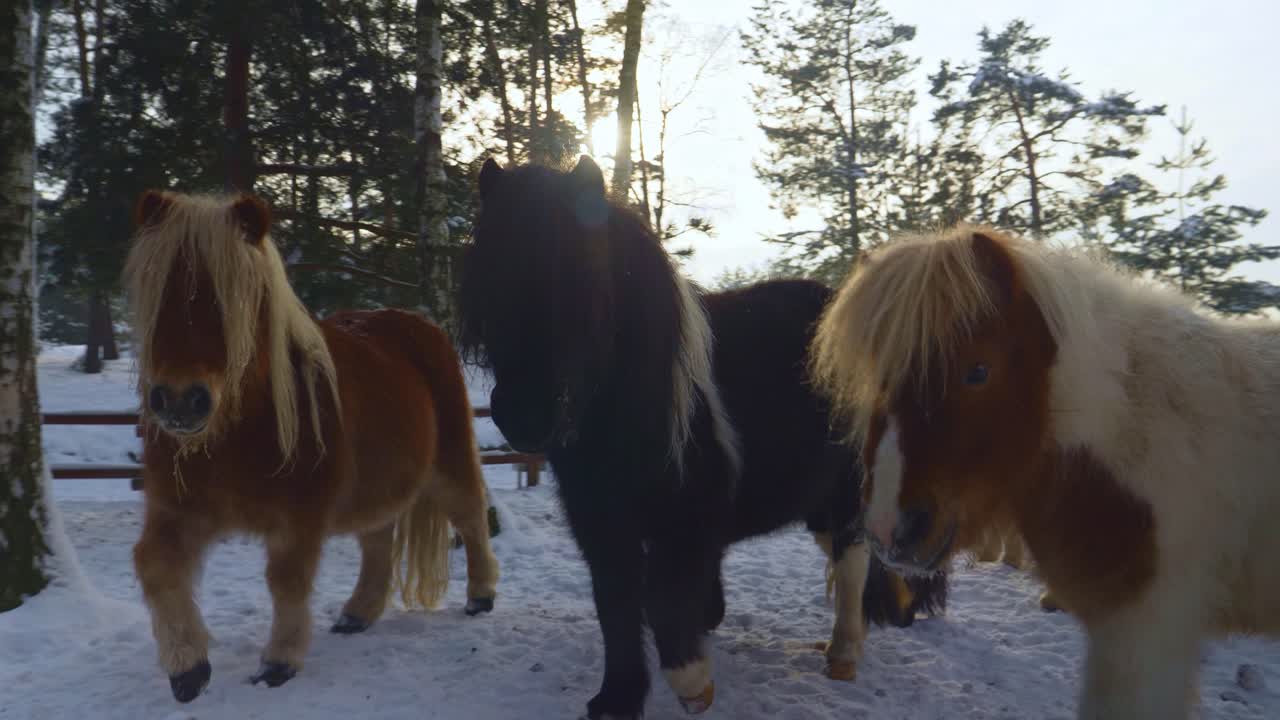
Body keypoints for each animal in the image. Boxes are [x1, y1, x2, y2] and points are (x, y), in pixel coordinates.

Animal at [123, 190, 500, 704]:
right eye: (159, 292)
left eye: (232, 299)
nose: (180, 400)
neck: (233, 439)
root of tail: (418, 326)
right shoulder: (179, 510)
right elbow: (155, 565)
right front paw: (187, 667)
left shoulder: (298, 519)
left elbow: (287, 582)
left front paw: (278, 663)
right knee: (378, 541)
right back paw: (358, 613)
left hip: (449, 462)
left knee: (470, 516)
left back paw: (481, 596)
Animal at [457, 156, 947, 720]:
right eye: (487, 277)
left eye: (585, 278)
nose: (525, 414)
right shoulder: (600, 523)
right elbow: (614, 604)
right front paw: (618, 697)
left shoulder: (685, 522)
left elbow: (662, 600)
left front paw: (692, 682)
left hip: (848, 488)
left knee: (851, 556)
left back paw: (844, 653)